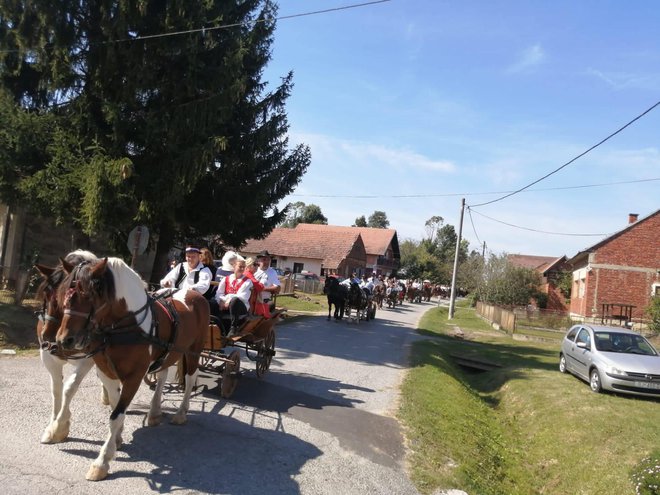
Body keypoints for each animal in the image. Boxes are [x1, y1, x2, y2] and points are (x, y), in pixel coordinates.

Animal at [56, 258, 208, 482]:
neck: (127, 326)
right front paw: (117, 439)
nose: (64, 339)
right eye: (65, 295)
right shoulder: (106, 371)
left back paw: (181, 413)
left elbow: (116, 415)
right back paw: (154, 412)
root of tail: (193, 294)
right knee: (162, 375)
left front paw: (102, 462)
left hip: (194, 351)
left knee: (190, 379)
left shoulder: (134, 376)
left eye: (88, 295)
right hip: (169, 352)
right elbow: (114, 404)